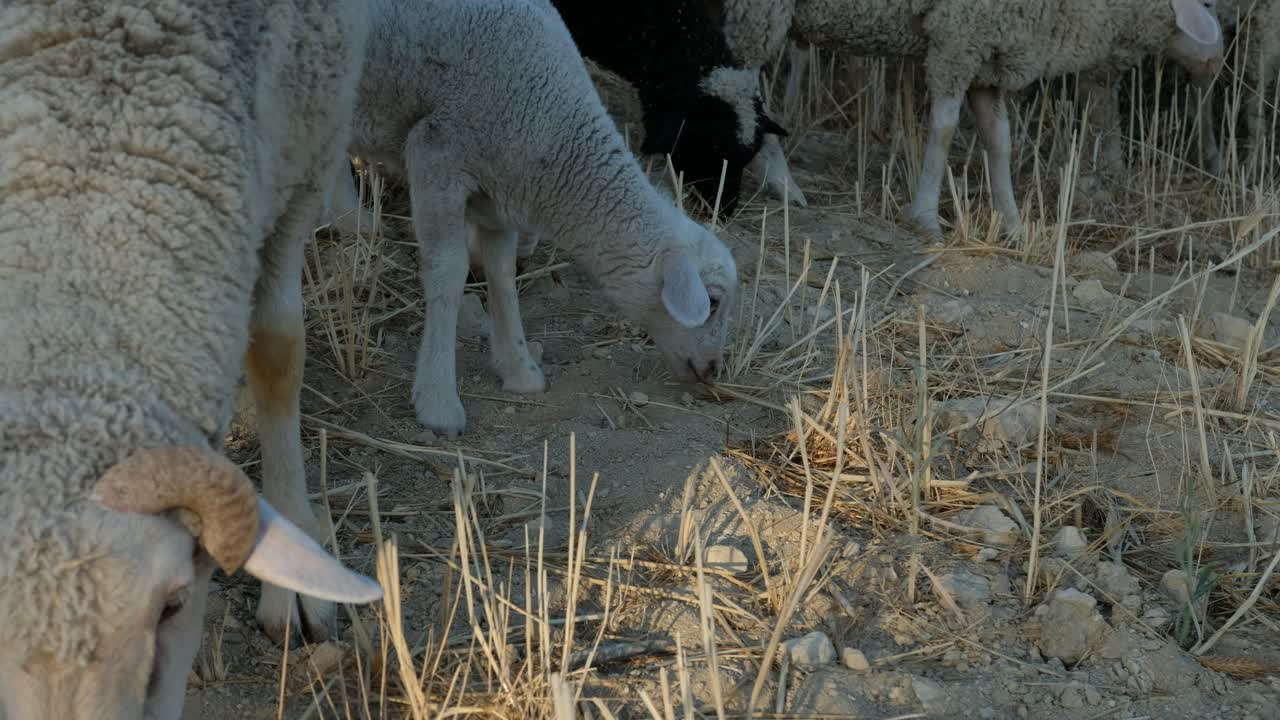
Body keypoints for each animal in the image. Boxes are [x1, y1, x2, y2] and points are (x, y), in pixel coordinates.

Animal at [347, 0, 738, 439]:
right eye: (713, 303)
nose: (713, 369)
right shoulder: (437, 155)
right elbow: (447, 273)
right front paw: (438, 402)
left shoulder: (497, 193)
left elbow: (502, 274)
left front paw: (520, 371)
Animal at [765, 0, 1225, 235]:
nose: (1216, 61)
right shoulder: (956, 38)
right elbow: (944, 128)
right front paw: (925, 215)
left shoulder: (988, 55)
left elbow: (998, 139)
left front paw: (1013, 222)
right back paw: (784, 185)